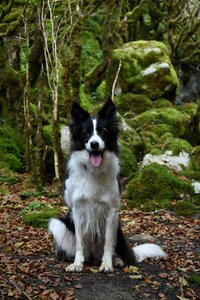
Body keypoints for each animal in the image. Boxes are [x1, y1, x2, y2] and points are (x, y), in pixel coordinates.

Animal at [48, 99, 166, 272]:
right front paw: (77, 264)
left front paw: (107, 264)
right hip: (57, 225)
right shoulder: (77, 210)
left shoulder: (111, 211)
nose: (94, 144)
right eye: (85, 132)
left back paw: (116, 260)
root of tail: (93, 256)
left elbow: (108, 243)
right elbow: (80, 242)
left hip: (118, 227)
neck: (93, 171)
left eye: (103, 131)